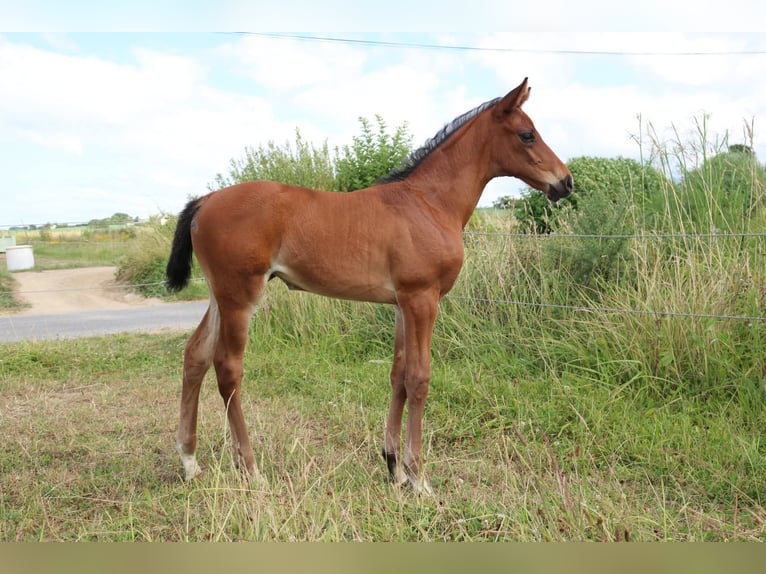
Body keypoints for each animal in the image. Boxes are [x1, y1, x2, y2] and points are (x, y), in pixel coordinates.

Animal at [166, 78, 573, 493]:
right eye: (527, 134)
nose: (566, 182)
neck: (429, 203)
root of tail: (205, 201)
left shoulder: (402, 304)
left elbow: (398, 375)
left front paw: (393, 466)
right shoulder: (422, 298)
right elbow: (419, 378)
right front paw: (418, 478)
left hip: (220, 295)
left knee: (195, 355)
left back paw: (190, 461)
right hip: (240, 297)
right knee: (228, 368)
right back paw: (251, 469)